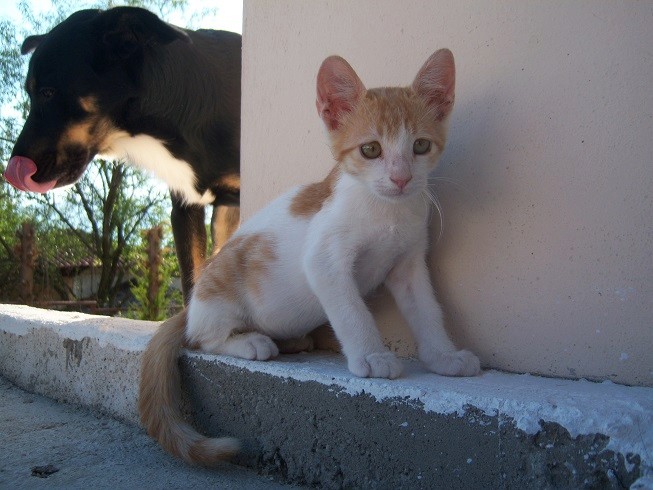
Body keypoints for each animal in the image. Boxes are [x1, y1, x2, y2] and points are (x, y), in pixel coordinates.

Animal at [140, 47, 482, 466]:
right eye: (371, 149)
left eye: (420, 146)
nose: (401, 179)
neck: (387, 212)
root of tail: (190, 308)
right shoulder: (324, 259)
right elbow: (352, 311)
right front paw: (373, 356)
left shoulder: (409, 265)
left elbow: (427, 310)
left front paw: (443, 357)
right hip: (217, 296)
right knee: (201, 338)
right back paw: (247, 342)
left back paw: (292, 341)